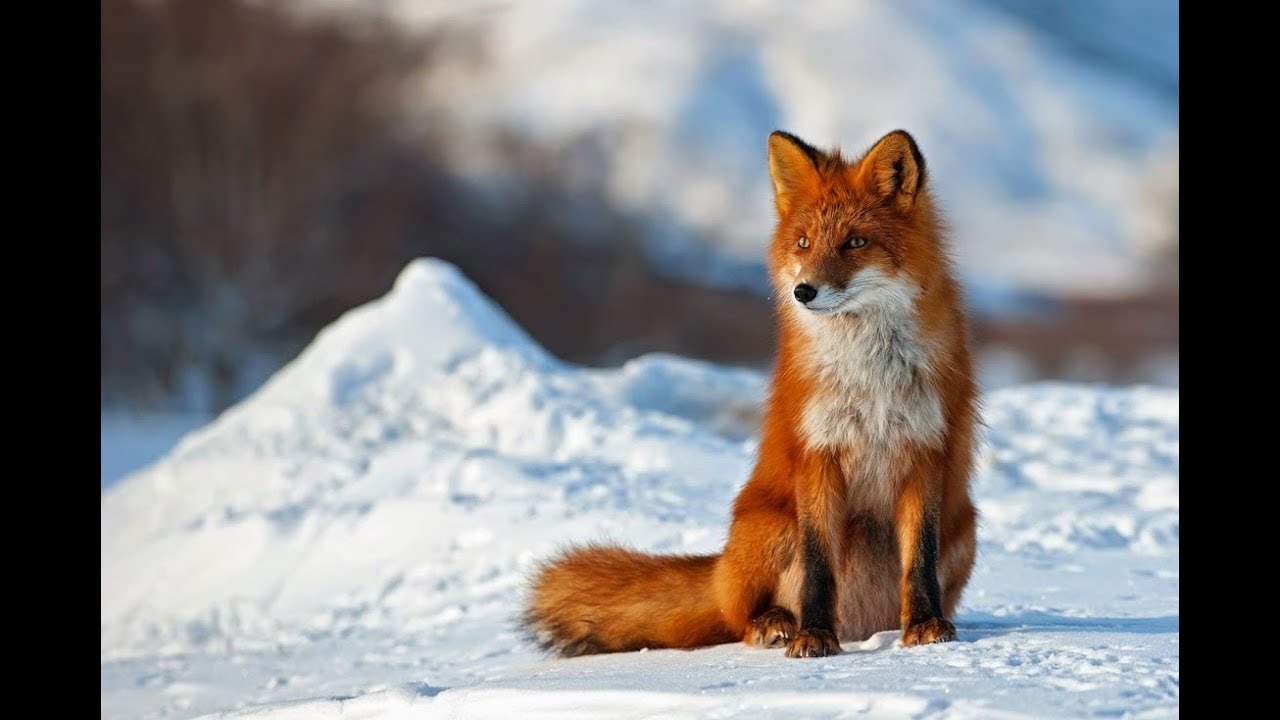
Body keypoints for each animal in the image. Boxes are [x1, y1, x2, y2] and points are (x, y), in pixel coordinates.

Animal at [523, 129, 979, 658]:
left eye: (856, 242)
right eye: (803, 242)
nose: (804, 291)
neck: (870, 377)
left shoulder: (925, 451)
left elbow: (919, 561)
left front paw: (926, 624)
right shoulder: (817, 454)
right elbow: (818, 568)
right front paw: (814, 635)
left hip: (964, 527)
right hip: (772, 526)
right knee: (739, 617)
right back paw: (776, 623)